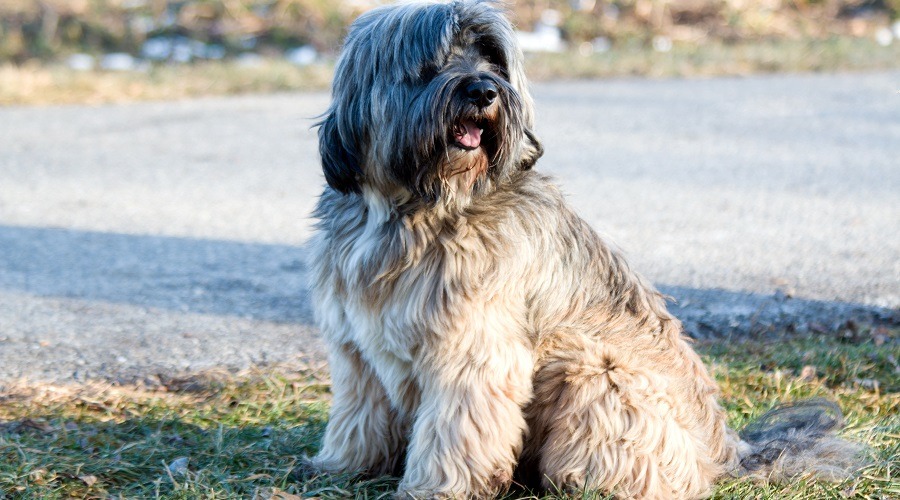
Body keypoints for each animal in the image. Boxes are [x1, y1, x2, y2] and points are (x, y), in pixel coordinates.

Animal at [306, 1, 860, 498]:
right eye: (431, 62)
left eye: (492, 59)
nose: (485, 90)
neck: (414, 209)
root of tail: (724, 451)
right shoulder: (356, 351)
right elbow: (358, 414)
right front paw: (343, 466)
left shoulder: (475, 356)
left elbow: (456, 432)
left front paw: (436, 489)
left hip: (596, 369)